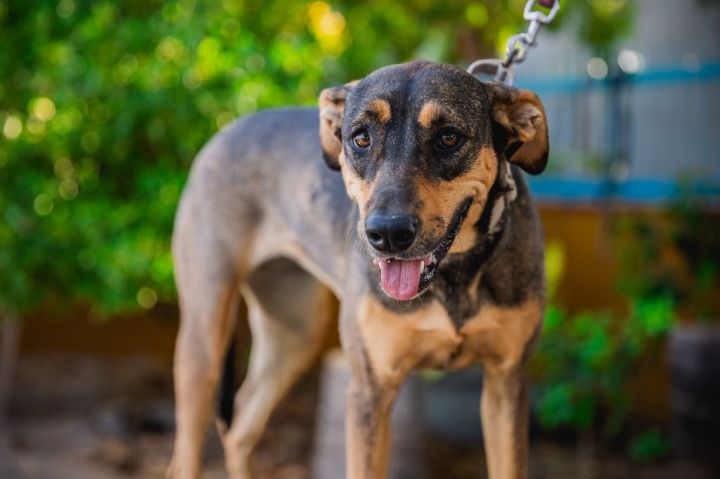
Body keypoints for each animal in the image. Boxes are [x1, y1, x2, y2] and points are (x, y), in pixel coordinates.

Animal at [169, 61, 548, 479]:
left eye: (449, 137)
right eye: (361, 138)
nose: (387, 234)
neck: (454, 274)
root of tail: (227, 130)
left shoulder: (506, 383)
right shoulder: (369, 391)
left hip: (294, 333)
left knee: (240, 430)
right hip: (204, 341)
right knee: (185, 452)